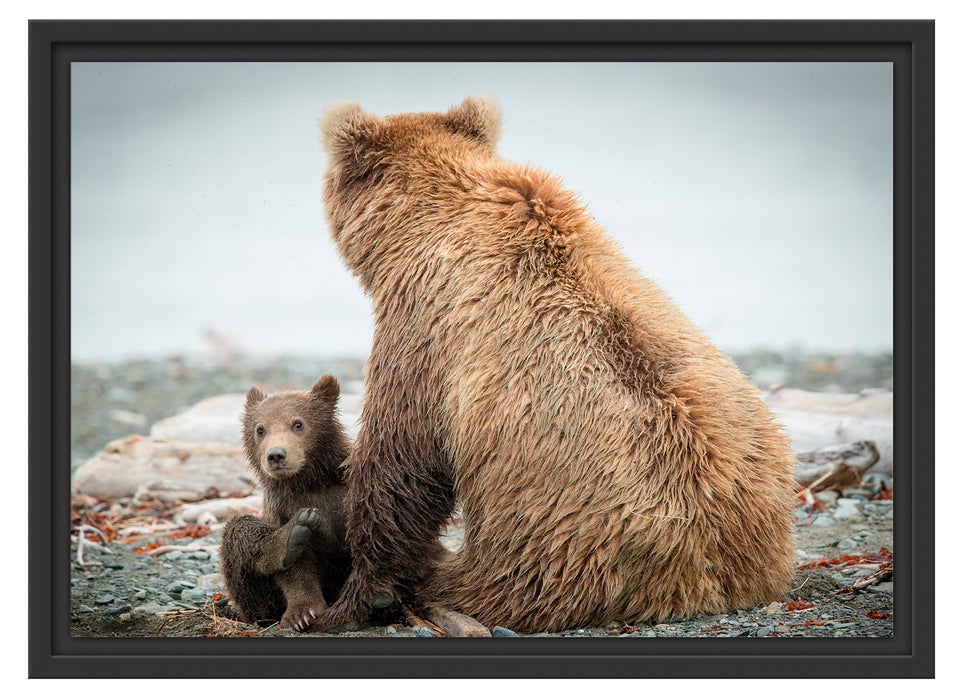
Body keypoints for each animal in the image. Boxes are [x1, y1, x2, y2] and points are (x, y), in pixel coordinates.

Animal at [316, 94, 796, 636]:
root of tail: (709, 580)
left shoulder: (425, 327)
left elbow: (400, 458)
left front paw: (354, 596)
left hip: (555, 544)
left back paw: (434, 586)